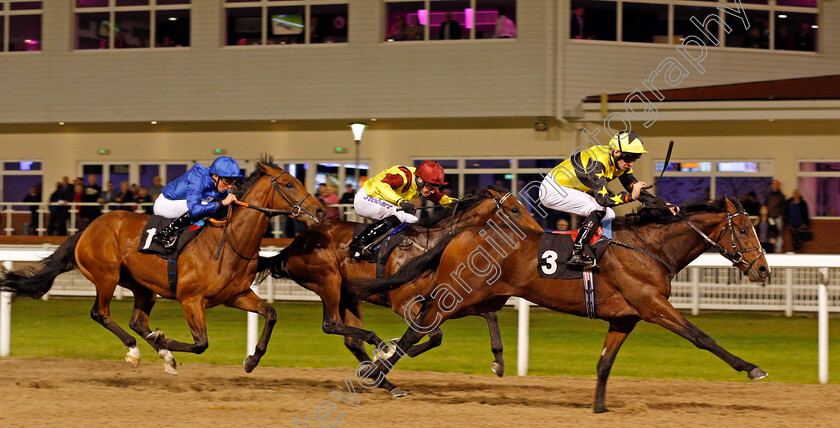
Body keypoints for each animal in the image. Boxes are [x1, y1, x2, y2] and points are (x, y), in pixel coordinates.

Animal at [0, 157, 324, 374]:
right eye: (288, 184)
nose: (320, 210)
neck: (229, 242)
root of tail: (89, 227)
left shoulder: (235, 295)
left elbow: (270, 313)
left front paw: (252, 359)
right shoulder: (190, 299)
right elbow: (201, 343)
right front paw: (164, 339)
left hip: (143, 286)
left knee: (136, 321)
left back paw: (159, 352)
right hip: (106, 276)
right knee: (100, 313)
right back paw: (135, 349)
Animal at [260, 186, 540, 396]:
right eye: (515, 209)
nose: (538, 233)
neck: (431, 246)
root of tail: (293, 245)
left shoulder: (450, 299)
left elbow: (487, 316)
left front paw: (498, 361)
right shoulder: (404, 303)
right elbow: (432, 334)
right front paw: (393, 350)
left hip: (349, 296)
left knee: (351, 340)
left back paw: (386, 381)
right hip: (328, 282)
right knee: (331, 324)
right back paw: (377, 353)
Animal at [352, 197, 772, 412]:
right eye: (744, 228)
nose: (764, 270)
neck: (648, 247)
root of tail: (462, 232)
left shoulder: (626, 318)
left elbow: (604, 363)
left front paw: (599, 407)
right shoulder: (652, 305)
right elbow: (702, 337)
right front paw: (751, 368)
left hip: (485, 296)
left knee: (442, 323)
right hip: (458, 293)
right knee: (418, 328)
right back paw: (378, 374)